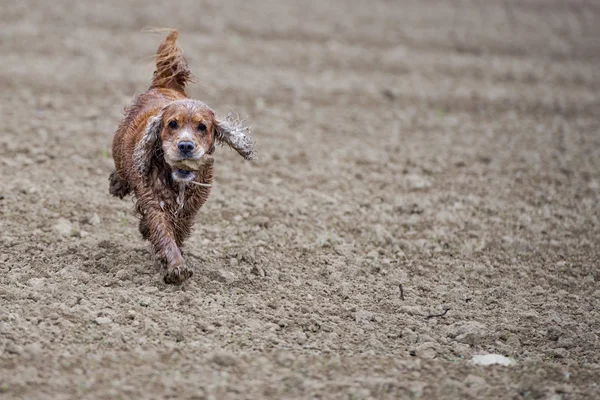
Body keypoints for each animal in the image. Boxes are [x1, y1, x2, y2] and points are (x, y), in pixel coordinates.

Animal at [110, 31, 253, 284]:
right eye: (172, 124)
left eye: (202, 127)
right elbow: (163, 231)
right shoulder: (154, 201)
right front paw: (176, 267)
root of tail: (163, 85)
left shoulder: (191, 208)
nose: (185, 145)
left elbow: (178, 230)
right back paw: (117, 184)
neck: (178, 181)